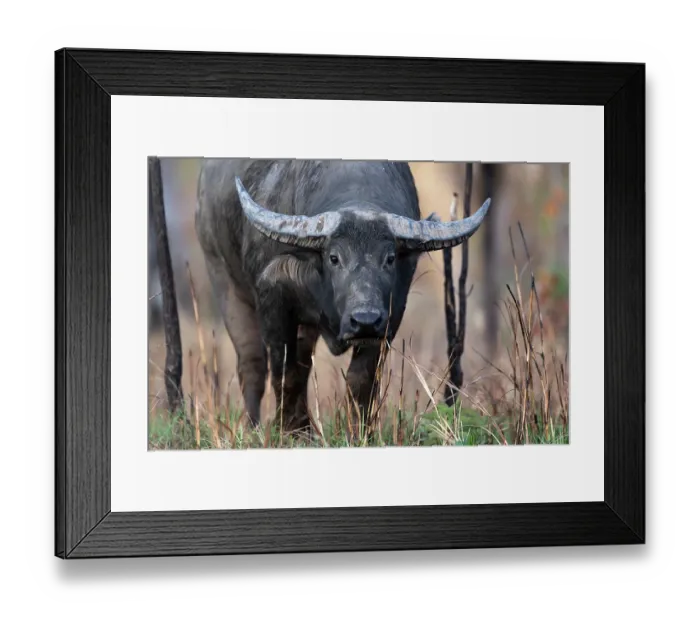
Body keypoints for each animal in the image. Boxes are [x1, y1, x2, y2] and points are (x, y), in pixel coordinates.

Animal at [194, 159, 490, 432]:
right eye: (334, 258)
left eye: (390, 258)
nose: (364, 320)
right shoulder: (272, 294)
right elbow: (284, 371)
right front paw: (288, 431)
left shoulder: (390, 315)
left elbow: (360, 378)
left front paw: (359, 431)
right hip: (224, 282)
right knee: (252, 363)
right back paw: (255, 427)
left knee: (302, 360)